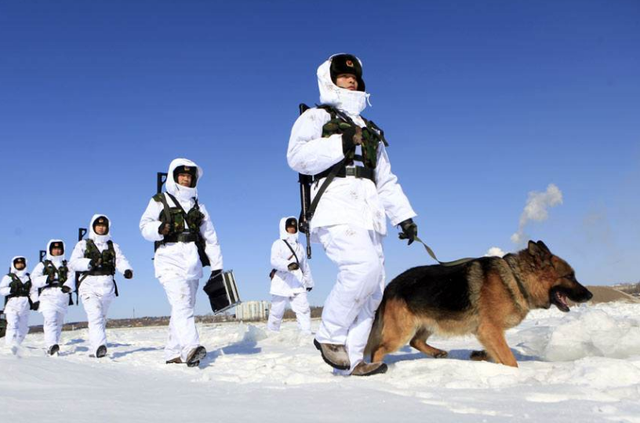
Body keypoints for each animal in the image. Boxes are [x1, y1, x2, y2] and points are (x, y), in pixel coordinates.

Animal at [364, 242, 596, 368]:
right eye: (570, 276)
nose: (590, 294)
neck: (516, 279)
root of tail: (390, 286)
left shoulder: (490, 333)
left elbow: (497, 351)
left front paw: (481, 356)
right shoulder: (489, 329)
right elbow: (510, 360)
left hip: (430, 322)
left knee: (415, 341)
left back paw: (437, 353)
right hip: (401, 332)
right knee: (378, 349)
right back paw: (376, 367)